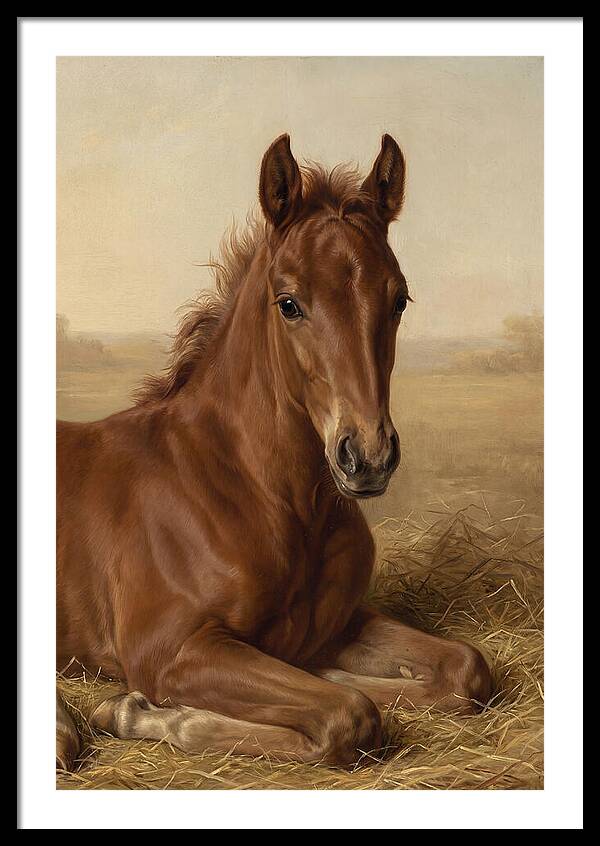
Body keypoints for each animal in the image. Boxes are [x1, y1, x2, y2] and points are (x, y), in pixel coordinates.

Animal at [56, 133, 492, 771]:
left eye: (400, 300)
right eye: (288, 303)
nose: (368, 456)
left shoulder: (338, 624)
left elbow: (464, 669)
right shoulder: (170, 650)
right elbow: (349, 715)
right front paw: (137, 712)